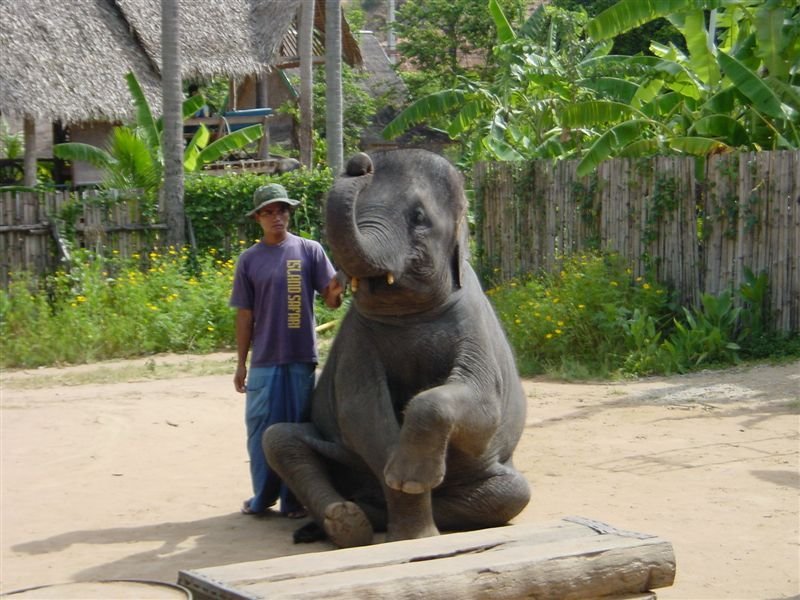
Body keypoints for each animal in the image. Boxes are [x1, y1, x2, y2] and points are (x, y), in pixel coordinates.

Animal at [263, 149, 530, 548]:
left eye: (418, 217)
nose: (359, 163)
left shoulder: (473, 328)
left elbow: (484, 408)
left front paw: (411, 487)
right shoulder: (357, 339)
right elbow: (362, 411)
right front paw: (408, 522)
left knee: (512, 494)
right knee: (279, 438)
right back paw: (346, 521)